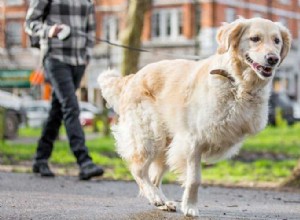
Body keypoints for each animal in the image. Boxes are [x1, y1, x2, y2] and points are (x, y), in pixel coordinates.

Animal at [98, 17, 290, 217]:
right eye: (255, 38)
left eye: (277, 41)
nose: (273, 59)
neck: (237, 83)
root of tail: (132, 77)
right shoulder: (193, 141)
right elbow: (194, 179)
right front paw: (190, 207)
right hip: (150, 134)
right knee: (138, 170)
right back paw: (155, 196)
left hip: (167, 144)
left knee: (154, 176)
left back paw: (162, 202)